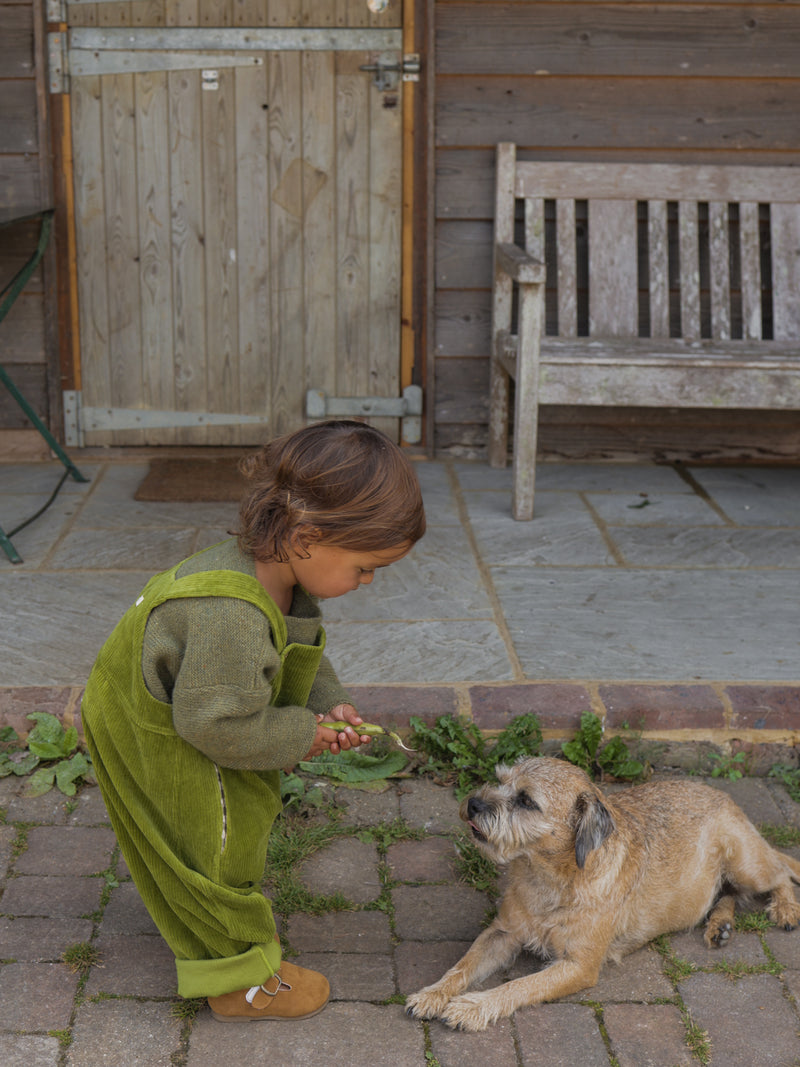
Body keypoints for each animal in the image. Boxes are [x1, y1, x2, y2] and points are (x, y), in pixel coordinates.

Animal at [407, 755, 800, 1028]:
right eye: (501, 781)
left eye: (527, 801)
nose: (473, 803)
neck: (549, 878)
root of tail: (725, 796)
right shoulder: (502, 933)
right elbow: (462, 965)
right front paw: (433, 993)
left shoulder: (578, 965)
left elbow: (518, 986)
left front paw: (474, 1006)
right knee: (729, 893)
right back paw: (720, 926)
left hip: (747, 864)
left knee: (779, 873)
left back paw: (785, 909)